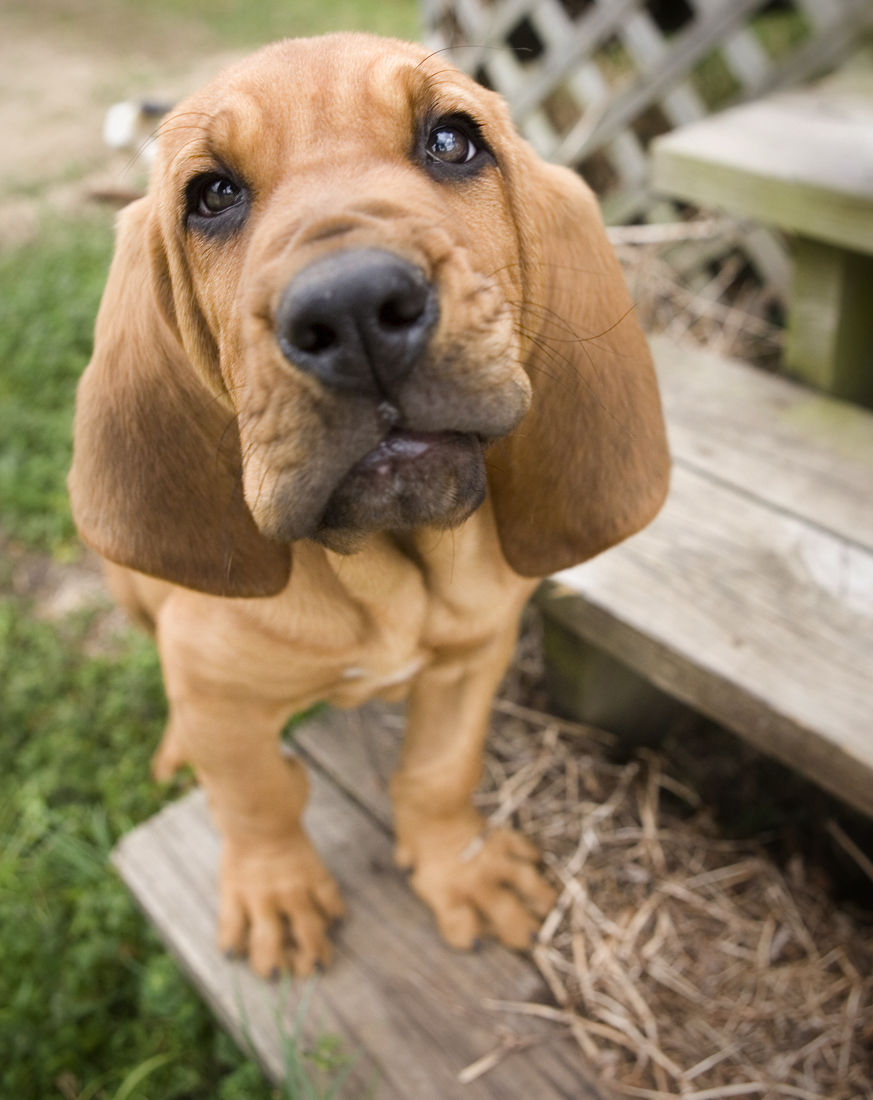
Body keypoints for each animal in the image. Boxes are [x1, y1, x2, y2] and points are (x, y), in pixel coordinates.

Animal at [68, 32, 668, 981]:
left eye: (452, 141)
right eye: (212, 194)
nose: (352, 308)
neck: (390, 575)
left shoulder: (473, 659)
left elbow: (437, 772)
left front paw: (460, 869)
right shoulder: (216, 691)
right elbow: (256, 796)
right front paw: (275, 892)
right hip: (135, 596)